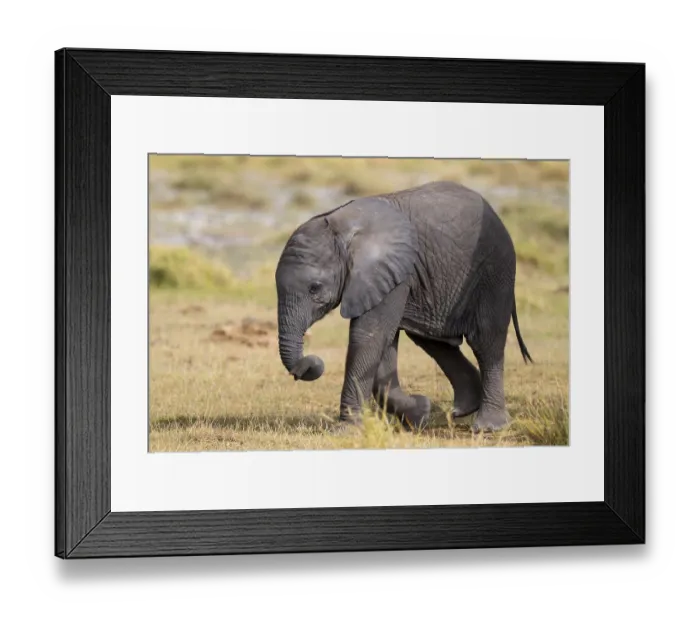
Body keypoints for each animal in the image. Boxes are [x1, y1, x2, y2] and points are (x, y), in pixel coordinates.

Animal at [275, 181, 533, 432]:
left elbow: (368, 336)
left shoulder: (391, 273)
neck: (343, 229)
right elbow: (384, 343)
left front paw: (347, 430)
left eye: (314, 288)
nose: (306, 366)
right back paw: (461, 410)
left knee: (485, 341)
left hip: (494, 271)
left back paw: (488, 426)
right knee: (434, 341)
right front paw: (420, 414)